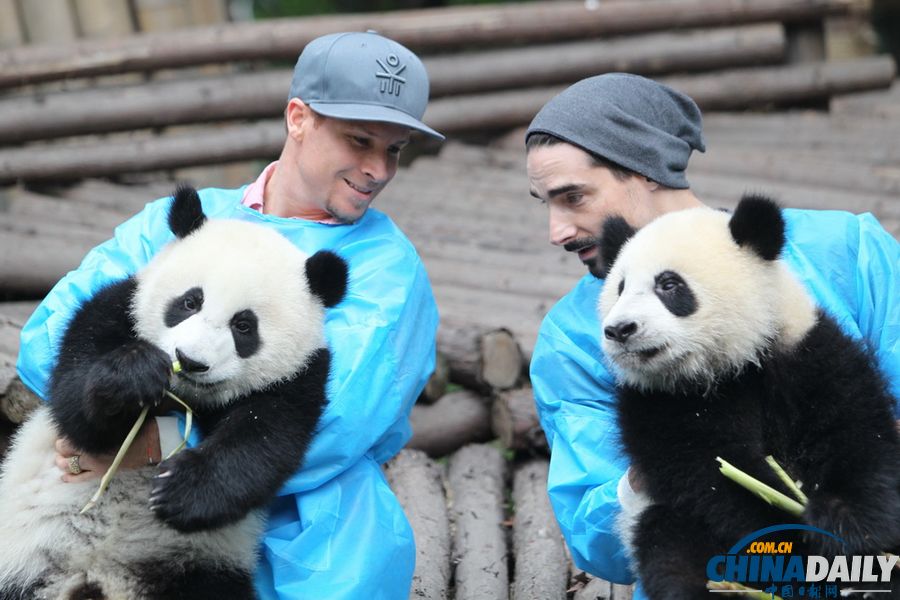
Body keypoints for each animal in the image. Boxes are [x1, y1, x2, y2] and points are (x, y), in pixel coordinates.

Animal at [0, 185, 348, 596]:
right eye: (189, 302)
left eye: (244, 326)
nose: (190, 360)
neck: (186, 397)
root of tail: (98, 576)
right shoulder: (117, 307)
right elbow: (77, 407)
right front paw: (134, 375)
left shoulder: (300, 377)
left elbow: (265, 439)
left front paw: (181, 492)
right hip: (24, 555)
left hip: (196, 565)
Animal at [596, 195, 900, 596]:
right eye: (620, 287)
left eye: (668, 284)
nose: (620, 329)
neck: (732, 364)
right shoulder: (660, 403)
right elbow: (719, 477)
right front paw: (793, 535)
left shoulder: (805, 352)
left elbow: (854, 431)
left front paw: (843, 525)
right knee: (669, 546)